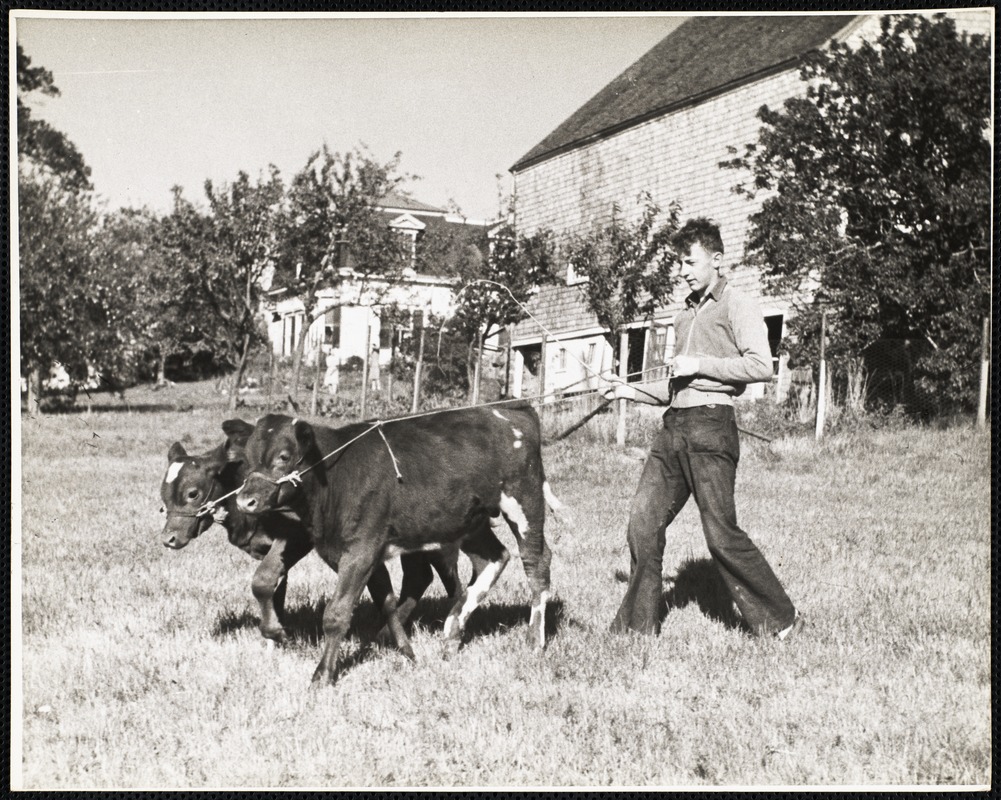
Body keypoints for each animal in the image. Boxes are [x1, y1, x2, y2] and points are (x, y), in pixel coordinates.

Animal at [162, 422, 458, 648]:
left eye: (192, 493)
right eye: (163, 494)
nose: (168, 539)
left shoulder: (296, 537)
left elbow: (263, 579)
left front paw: (277, 633)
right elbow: (274, 588)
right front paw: (272, 636)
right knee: (419, 576)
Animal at [236, 404, 564, 684]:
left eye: (284, 456)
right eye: (247, 458)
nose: (244, 501)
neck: (335, 476)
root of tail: (514, 410)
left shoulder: (362, 548)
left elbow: (337, 613)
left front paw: (324, 673)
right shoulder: (355, 548)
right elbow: (385, 601)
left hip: (524, 501)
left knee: (536, 562)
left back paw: (534, 640)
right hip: (469, 520)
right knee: (494, 557)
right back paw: (453, 629)